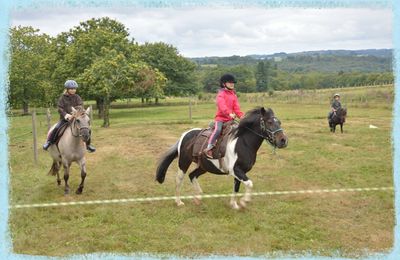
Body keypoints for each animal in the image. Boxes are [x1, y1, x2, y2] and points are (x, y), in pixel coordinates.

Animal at [155, 107, 288, 209]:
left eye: (279, 122)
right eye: (269, 122)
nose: (283, 141)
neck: (242, 142)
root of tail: (185, 135)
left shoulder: (240, 172)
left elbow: (236, 187)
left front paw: (234, 205)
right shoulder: (236, 170)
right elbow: (249, 184)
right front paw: (244, 201)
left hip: (204, 166)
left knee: (192, 175)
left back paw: (198, 197)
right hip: (183, 162)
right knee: (179, 180)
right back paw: (179, 202)